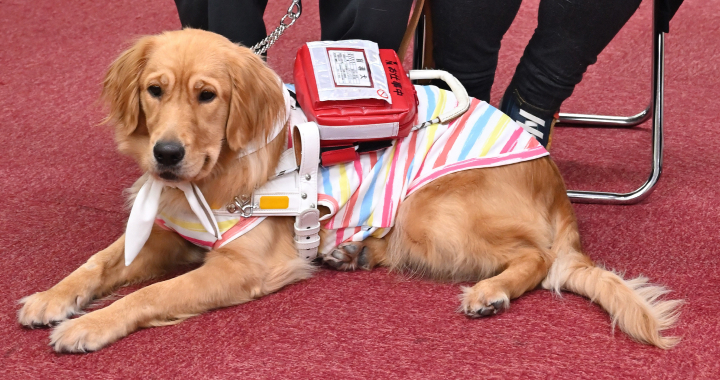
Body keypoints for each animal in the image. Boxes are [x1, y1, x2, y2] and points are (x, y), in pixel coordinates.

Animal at [15, 28, 680, 352]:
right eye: (155, 90)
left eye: (207, 95)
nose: (167, 154)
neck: (214, 174)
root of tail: (554, 182)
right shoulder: (169, 235)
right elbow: (97, 265)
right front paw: (53, 298)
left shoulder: (240, 266)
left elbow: (148, 296)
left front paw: (87, 327)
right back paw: (350, 250)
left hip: (428, 209)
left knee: (537, 258)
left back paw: (490, 292)